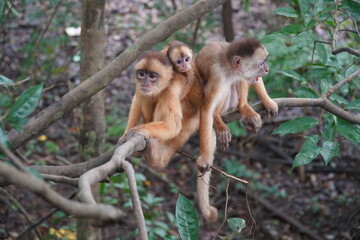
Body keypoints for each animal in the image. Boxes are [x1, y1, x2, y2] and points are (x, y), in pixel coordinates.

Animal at [194, 38, 278, 223]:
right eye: (261, 63)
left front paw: (268, 101)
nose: (267, 69)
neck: (229, 67)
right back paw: (218, 119)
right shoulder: (218, 77)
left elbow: (253, 80)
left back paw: (244, 108)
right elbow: (206, 110)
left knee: (241, 81)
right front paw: (204, 156)